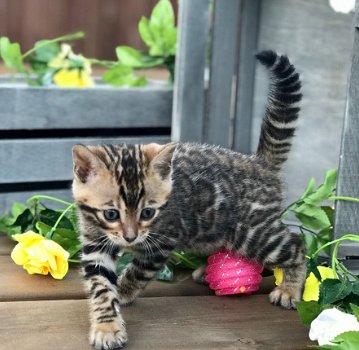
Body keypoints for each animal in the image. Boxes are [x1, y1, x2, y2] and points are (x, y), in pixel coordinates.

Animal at [72, 50, 306, 350]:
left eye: (148, 213)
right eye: (111, 214)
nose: (130, 237)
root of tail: (259, 164)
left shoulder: (160, 242)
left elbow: (137, 271)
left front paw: (123, 290)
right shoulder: (96, 244)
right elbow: (101, 287)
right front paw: (107, 326)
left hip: (254, 233)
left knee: (296, 245)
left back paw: (289, 287)